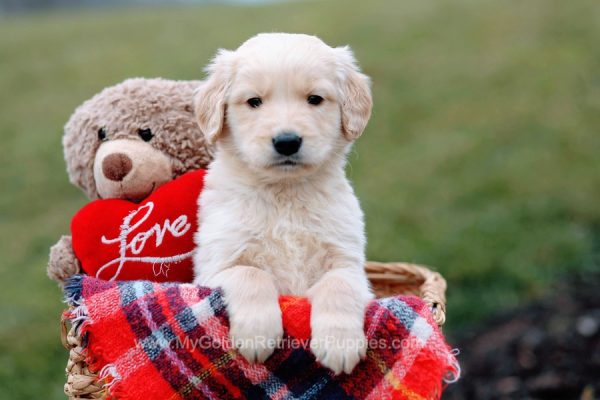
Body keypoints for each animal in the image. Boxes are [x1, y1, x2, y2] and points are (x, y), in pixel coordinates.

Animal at [192, 32, 372, 376]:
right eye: (254, 102)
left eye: (315, 99)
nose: (287, 142)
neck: (284, 194)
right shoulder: (215, 266)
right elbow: (251, 273)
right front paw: (257, 334)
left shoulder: (349, 263)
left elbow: (338, 285)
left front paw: (339, 344)